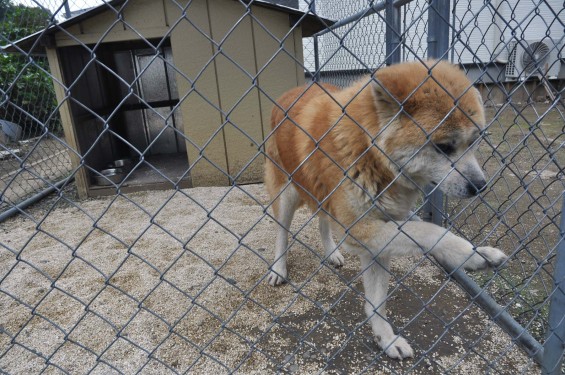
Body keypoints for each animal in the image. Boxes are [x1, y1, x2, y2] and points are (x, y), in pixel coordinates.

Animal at [264, 61, 506, 362]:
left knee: (323, 222)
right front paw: (472, 255)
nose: (480, 186)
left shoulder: (378, 237)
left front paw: (386, 339)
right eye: (443, 146)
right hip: (286, 194)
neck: (368, 148)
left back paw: (331, 252)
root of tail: (288, 93)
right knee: (281, 233)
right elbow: (430, 231)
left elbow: (377, 302)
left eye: (474, 142)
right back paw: (278, 268)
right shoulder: (362, 228)